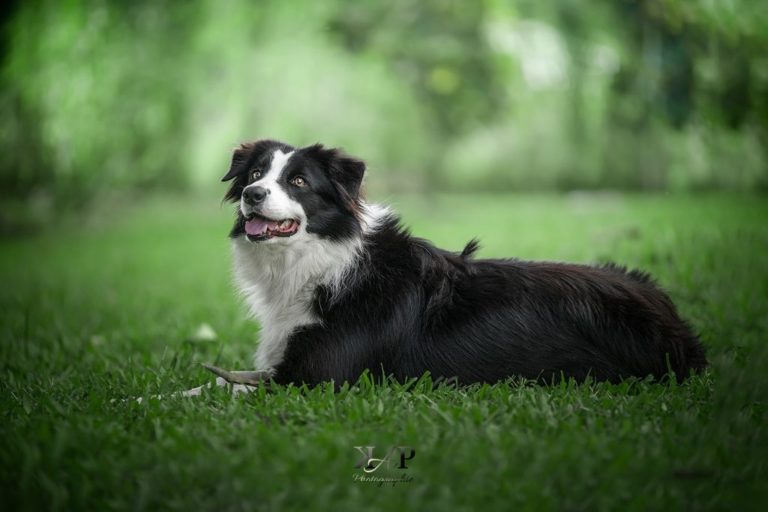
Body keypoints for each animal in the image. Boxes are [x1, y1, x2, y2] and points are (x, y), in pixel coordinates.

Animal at [195, 140, 704, 392]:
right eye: (255, 174)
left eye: (298, 182)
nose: (251, 194)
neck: (328, 259)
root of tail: (674, 322)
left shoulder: (318, 378)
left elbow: (219, 390)